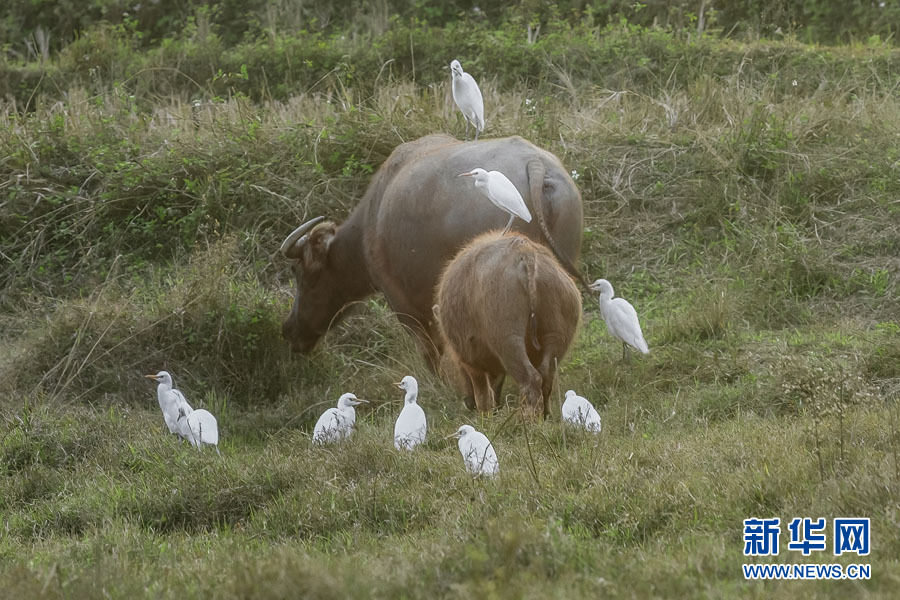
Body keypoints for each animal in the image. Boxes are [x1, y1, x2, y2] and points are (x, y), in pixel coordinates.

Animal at [278, 135, 584, 368]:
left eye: (304, 275)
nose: (289, 330)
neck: (370, 222)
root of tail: (535, 164)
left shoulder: (405, 306)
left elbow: (431, 353)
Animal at [436, 232, 584, 420]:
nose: (467, 403)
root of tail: (525, 253)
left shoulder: (471, 364)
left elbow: (483, 394)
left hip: (509, 341)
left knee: (531, 379)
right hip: (556, 337)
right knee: (546, 377)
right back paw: (545, 415)